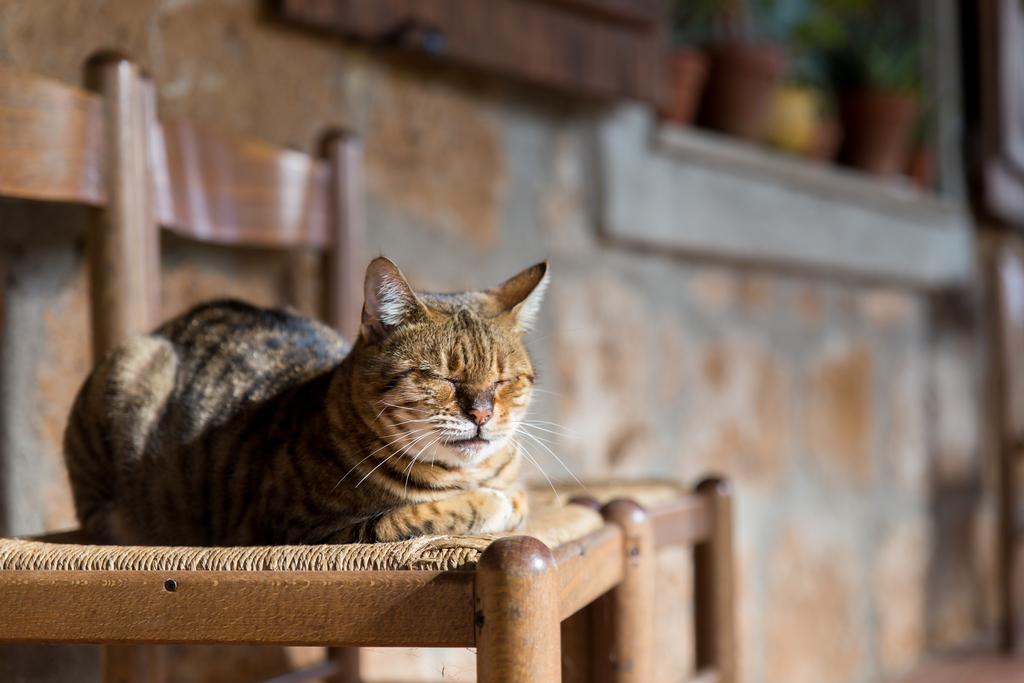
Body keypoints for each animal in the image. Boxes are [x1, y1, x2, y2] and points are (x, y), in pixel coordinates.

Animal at [61, 255, 552, 544]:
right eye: (442, 377)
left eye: (504, 380)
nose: (482, 414)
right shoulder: (295, 529)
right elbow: (418, 514)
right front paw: (492, 502)